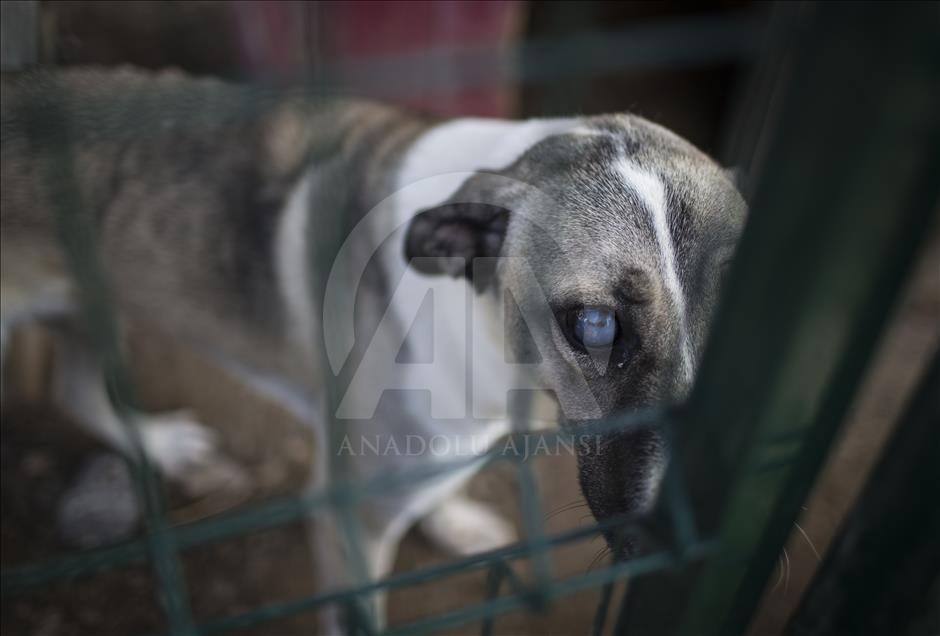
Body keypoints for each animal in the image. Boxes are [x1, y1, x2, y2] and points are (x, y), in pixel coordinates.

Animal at [1, 68, 748, 628]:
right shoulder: (350, 519)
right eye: (592, 324)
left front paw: (453, 522)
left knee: (73, 389)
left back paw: (165, 447)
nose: (699, 538)